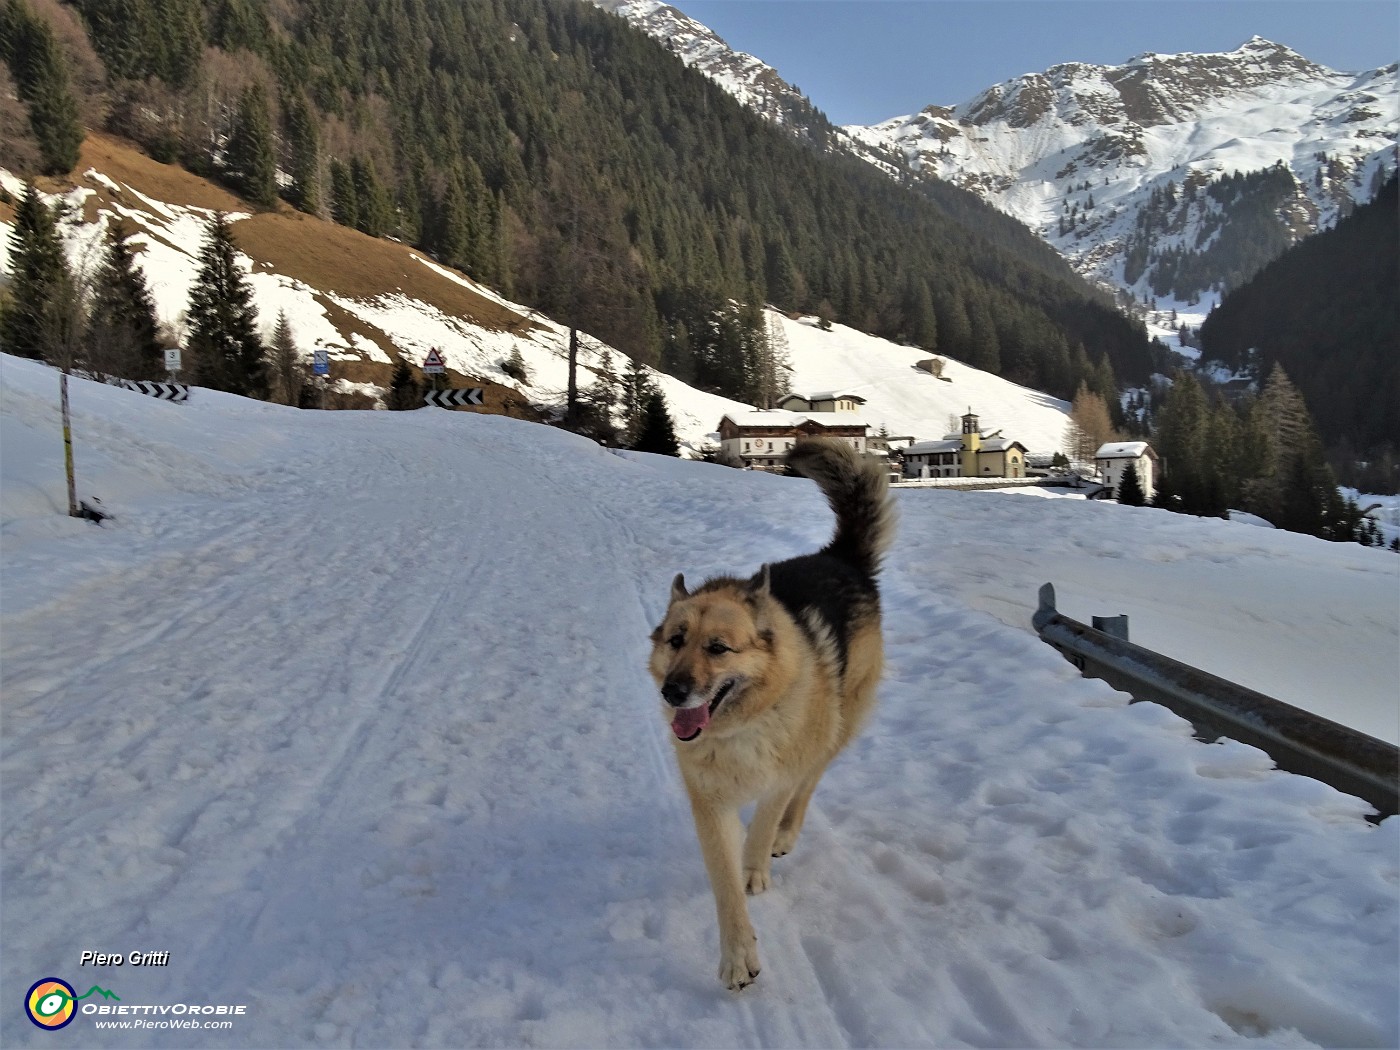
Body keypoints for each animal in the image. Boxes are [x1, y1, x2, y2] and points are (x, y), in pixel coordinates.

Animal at [646, 436, 896, 996]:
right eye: (676, 641)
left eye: (718, 648)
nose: (674, 692)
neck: (744, 723)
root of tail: (841, 558)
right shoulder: (708, 802)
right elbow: (722, 884)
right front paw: (738, 955)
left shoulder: (778, 775)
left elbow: (760, 827)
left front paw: (755, 867)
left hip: (838, 725)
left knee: (810, 781)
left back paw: (787, 832)